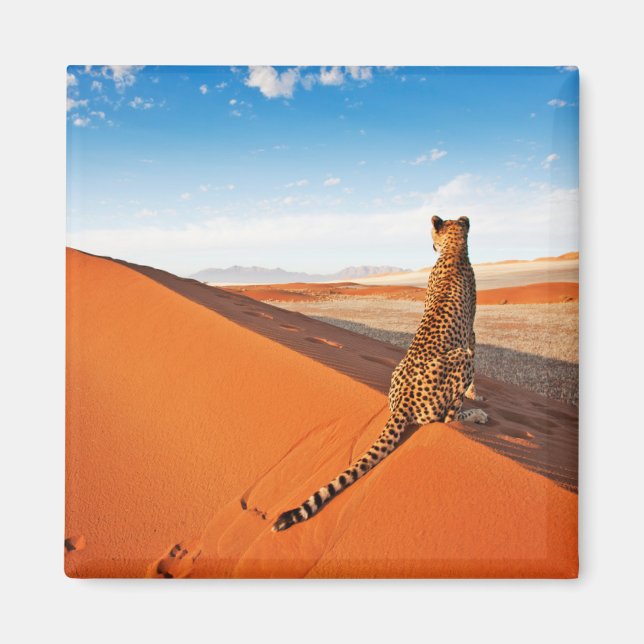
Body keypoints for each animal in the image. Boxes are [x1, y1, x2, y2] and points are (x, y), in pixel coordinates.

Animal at [272, 215, 488, 532]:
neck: (453, 250)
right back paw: (475, 417)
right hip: (460, 359)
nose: (431, 246)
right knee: (446, 420)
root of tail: (403, 402)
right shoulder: (470, 336)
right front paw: (478, 398)